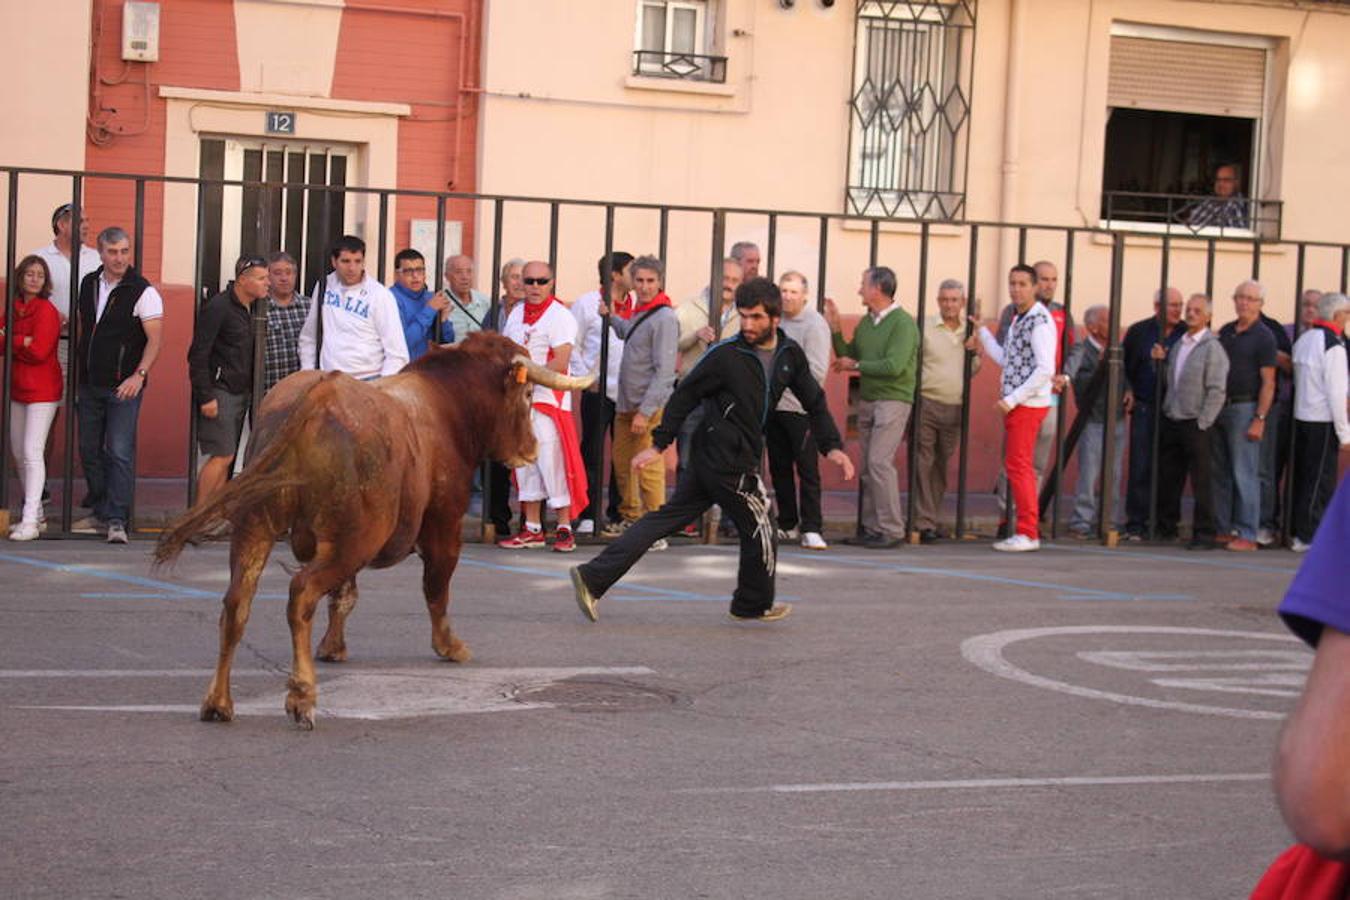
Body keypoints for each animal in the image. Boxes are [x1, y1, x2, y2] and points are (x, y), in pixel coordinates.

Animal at [155, 334, 594, 728]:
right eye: (527, 394)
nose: (531, 449)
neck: (446, 404)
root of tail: (318, 396)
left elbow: (345, 596)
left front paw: (333, 647)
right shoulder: (443, 525)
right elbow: (436, 589)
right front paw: (450, 645)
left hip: (257, 526)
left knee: (236, 603)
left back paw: (218, 701)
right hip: (353, 539)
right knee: (301, 594)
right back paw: (302, 697)